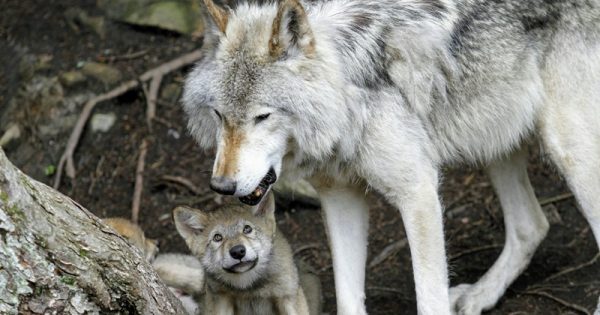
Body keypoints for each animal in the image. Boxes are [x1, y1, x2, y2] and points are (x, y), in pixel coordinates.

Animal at [173, 194, 324, 314]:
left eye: (247, 229)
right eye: (217, 238)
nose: (238, 251)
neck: (249, 288)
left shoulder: (288, 298)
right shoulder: (221, 300)